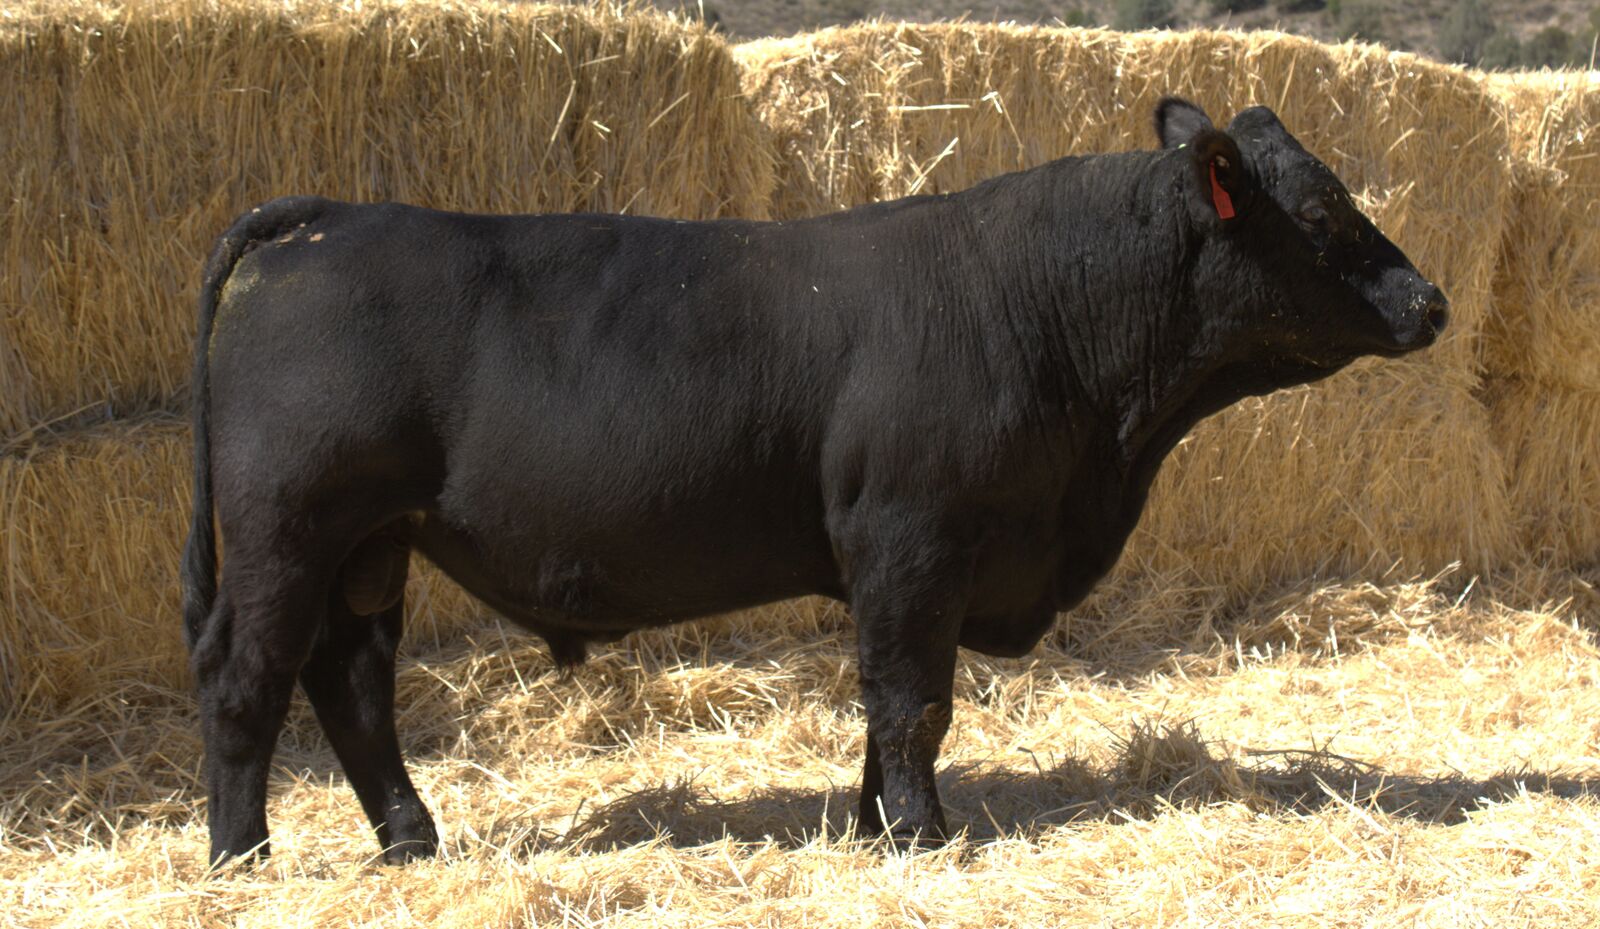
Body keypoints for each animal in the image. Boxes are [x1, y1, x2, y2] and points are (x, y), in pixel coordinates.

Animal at [181, 97, 1448, 867]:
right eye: (1326, 213)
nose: (1430, 299)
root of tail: (324, 218)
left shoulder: (908, 568)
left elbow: (888, 708)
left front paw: (875, 821)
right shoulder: (913, 542)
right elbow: (913, 699)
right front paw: (925, 833)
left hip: (368, 545)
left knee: (351, 682)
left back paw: (409, 836)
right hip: (289, 529)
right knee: (249, 679)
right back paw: (241, 854)